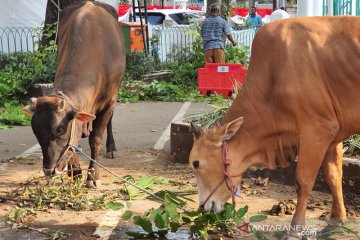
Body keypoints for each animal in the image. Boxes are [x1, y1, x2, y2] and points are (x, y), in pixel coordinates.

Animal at [23, 2, 125, 189]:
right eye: (35, 131)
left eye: (60, 129)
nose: (49, 170)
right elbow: (74, 142)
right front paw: (75, 172)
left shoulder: (110, 99)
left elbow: (95, 138)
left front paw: (92, 176)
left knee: (109, 122)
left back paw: (111, 147)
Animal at [190, 15, 358, 237]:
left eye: (196, 163)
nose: (202, 207)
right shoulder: (333, 134)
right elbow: (334, 176)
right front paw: (336, 221)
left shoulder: (317, 130)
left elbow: (303, 181)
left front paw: (295, 230)